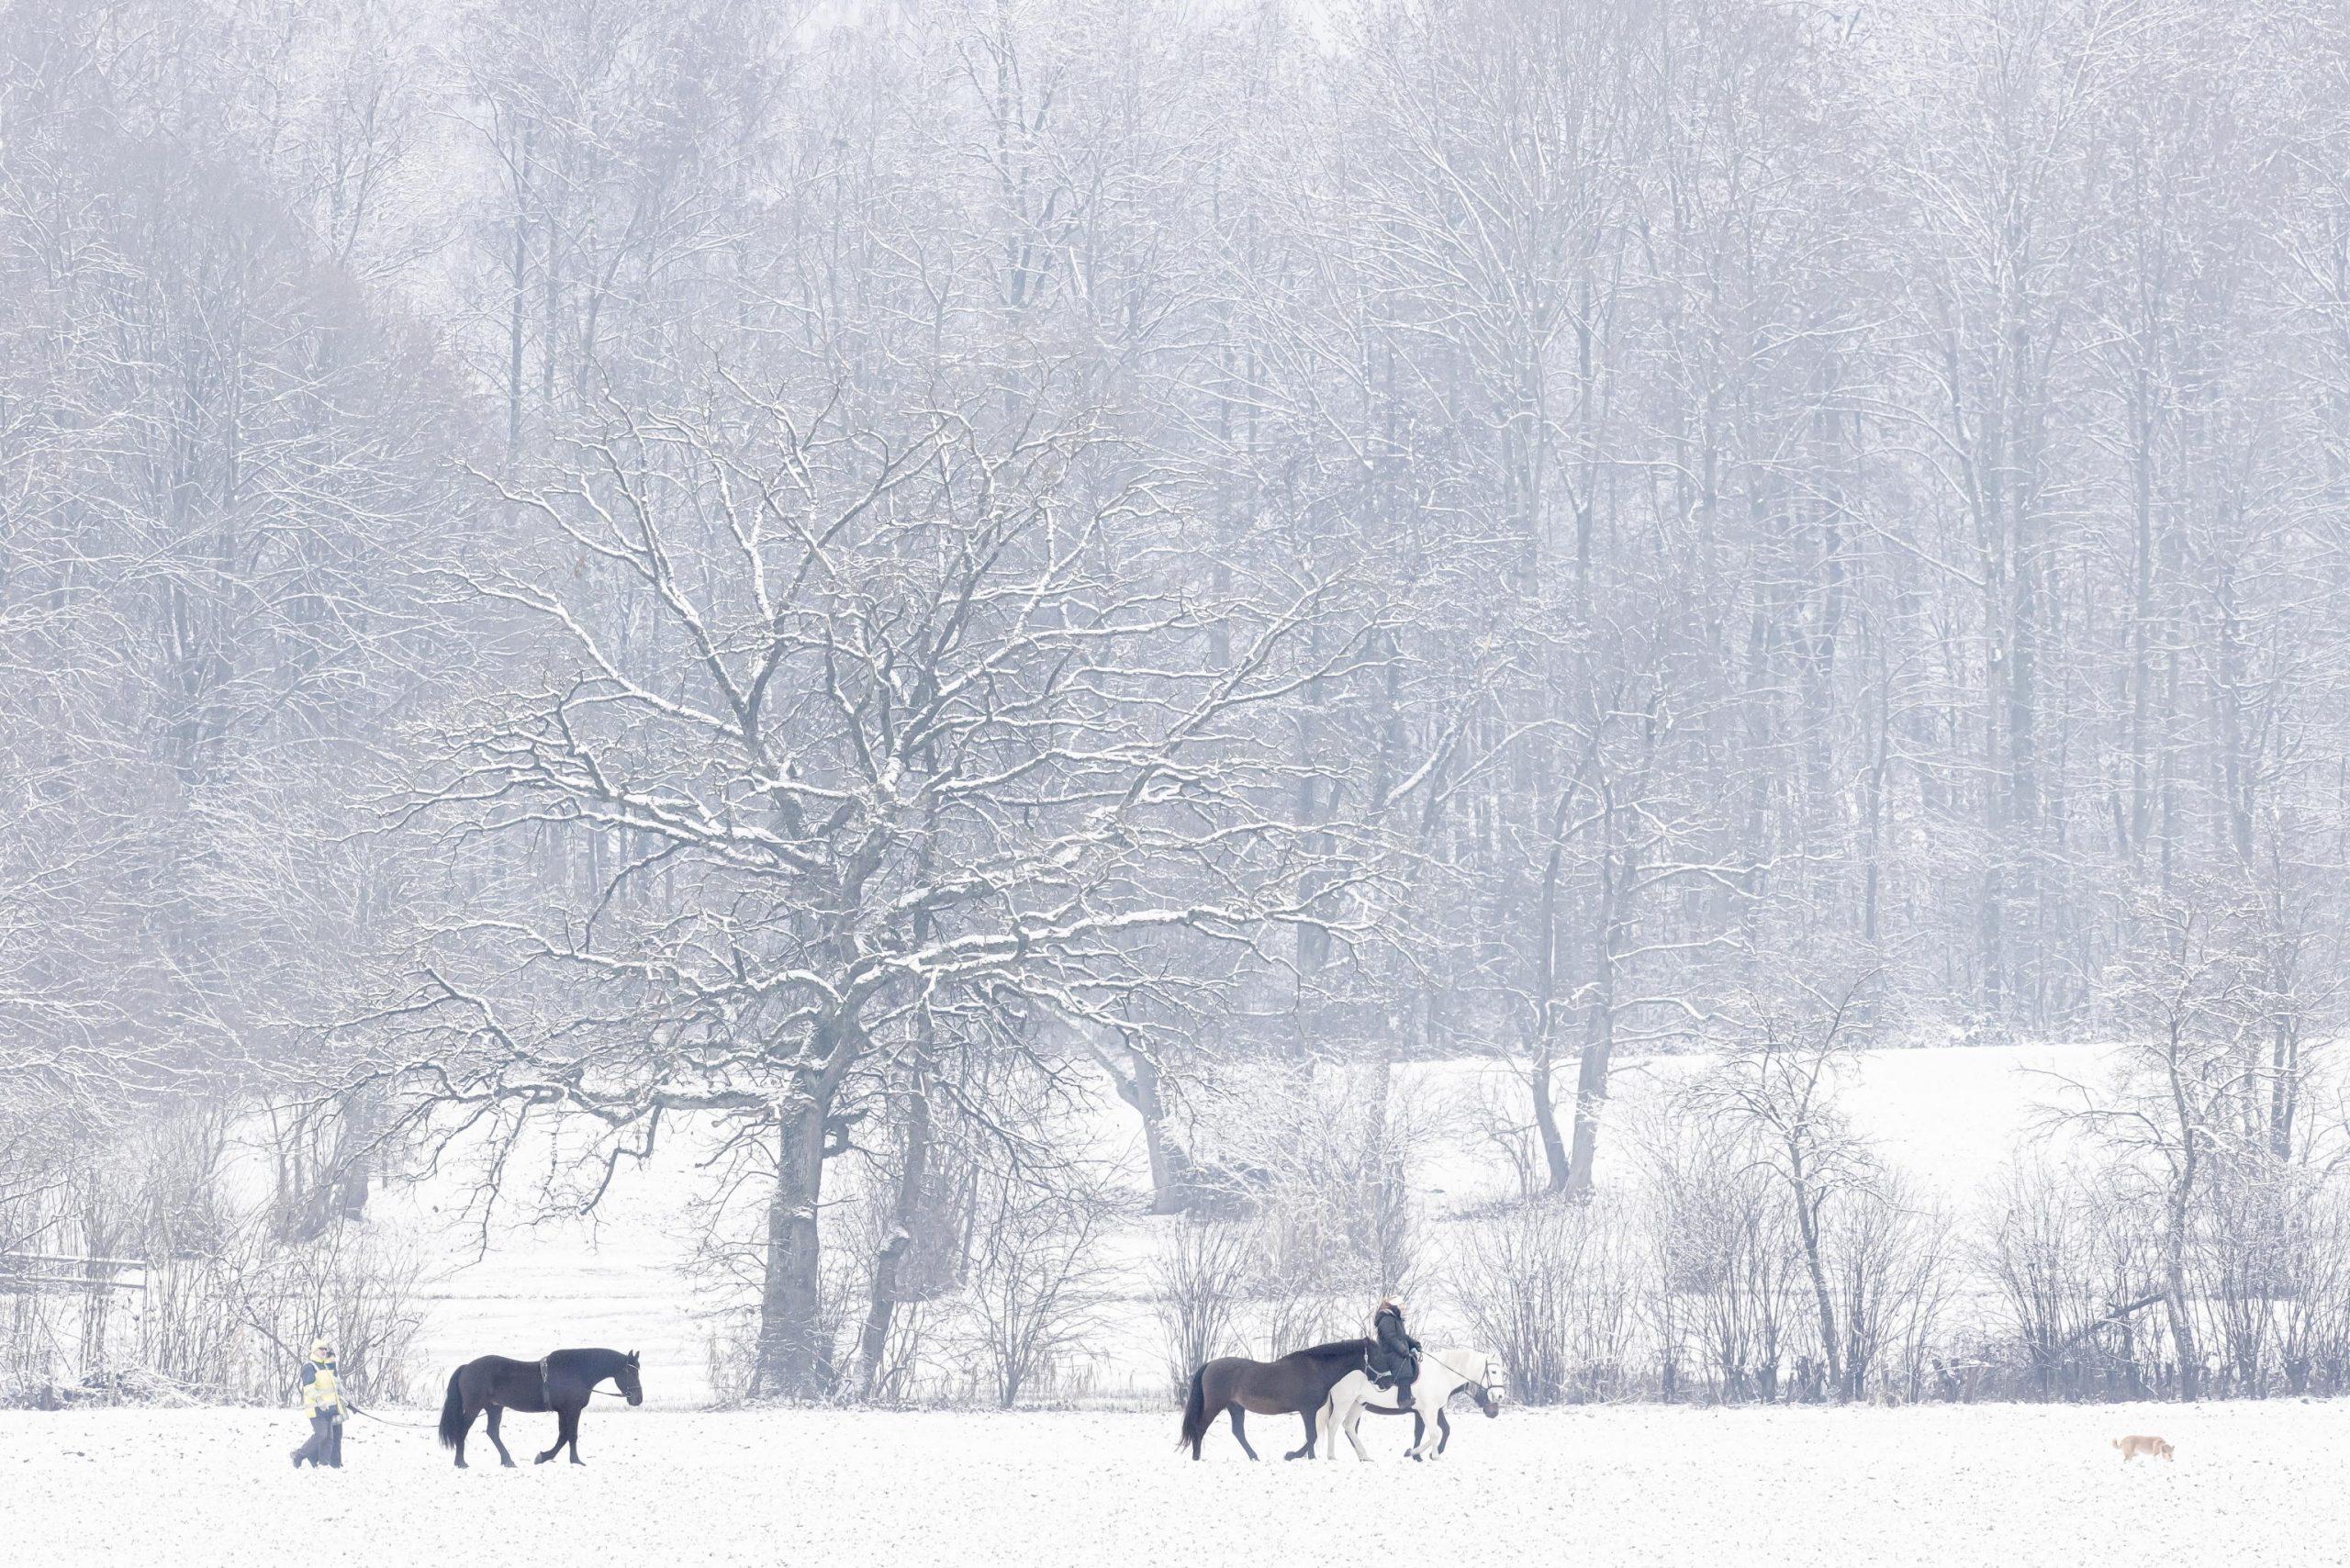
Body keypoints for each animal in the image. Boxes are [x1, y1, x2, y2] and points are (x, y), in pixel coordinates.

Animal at [439, 1344, 643, 1466]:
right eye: (631, 1372)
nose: (637, 1399)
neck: (576, 1371)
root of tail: (467, 1367)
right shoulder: (572, 1410)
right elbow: (570, 1435)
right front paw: (570, 1460)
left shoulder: (563, 1412)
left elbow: (564, 1436)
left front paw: (549, 1457)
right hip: (474, 1407)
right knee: (462, 1430)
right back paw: (460, 1462)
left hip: (494, 1408)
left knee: (492, 1432)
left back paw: (507, 1461)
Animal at [1315, 1353, 1494, 1457]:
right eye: (1493, 1372)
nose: (1494, 1411)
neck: (1440, 1373)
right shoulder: (1430, 1410)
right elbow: (1436, 1432)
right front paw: (1430, 1455)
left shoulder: (1424, 1411)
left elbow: (1433, 1431)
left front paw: (1415, 1453)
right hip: (1343, 1403)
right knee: (1333, 1425)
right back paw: (1332, 1456)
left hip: (1359, 1403)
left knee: (1349, 1426)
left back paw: (1364, 1456)